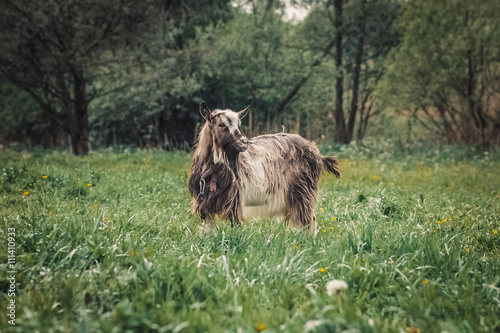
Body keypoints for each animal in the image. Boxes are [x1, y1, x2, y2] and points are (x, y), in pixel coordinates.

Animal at [188, 102, 340, 232]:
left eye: (238, 124)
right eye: (221, 124)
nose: (244, 142)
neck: (212, 170)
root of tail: (315, 152)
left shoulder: (235, 200)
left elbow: (235, 224)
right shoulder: (205, 204)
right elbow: (208, 229)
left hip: (302, 192)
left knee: (307, 219)